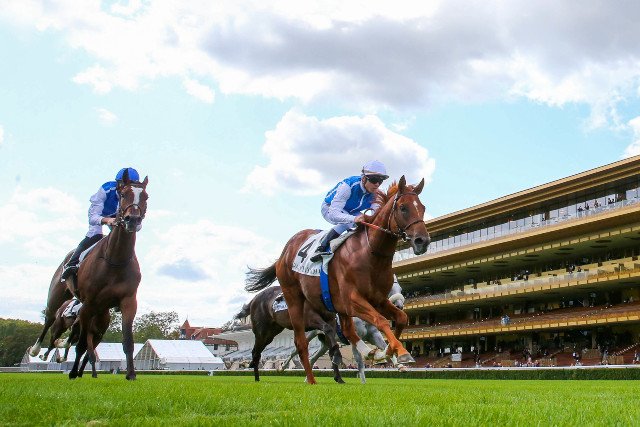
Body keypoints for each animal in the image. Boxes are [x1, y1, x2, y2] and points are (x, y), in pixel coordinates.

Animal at [67, 169, 148, 380]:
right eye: (123, 193)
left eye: (145, 196)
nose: (132, 220)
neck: (116, 259)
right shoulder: (87, 304)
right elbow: (81, 346)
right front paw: (73, 373)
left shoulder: (129, 300)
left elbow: (128, 341)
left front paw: (131, 374)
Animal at [246, 176, 429, 384]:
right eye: (403, 208)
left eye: (422, 208)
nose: (422, 241)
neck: (370, 253)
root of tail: (284, 252)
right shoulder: (353, 299)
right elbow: (381, 320)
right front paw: (400, 352)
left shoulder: (376, 300)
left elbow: (401, 318)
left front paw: (389, 352)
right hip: (292, 302)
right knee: (300, 343)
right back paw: (309, 378)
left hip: (336, 307)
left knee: (346, 332)